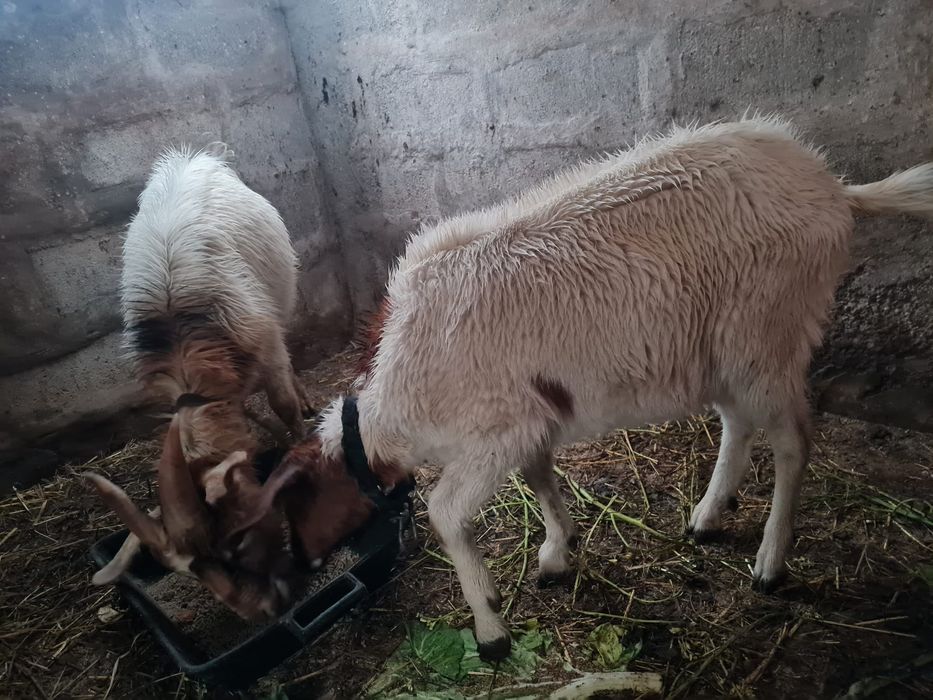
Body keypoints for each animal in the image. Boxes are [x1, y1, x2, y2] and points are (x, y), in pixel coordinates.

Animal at [203, 117, 933, 660]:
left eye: (277, 522)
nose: (281, 595)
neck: (396, 405)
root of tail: (836, 188)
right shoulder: (528, 418)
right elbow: (541, 478)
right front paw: (556, 552)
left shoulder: (490, 432)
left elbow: (446, 514)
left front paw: (490, 629)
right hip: (716, 349)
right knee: (738, 424)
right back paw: (706, 517)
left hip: (767, 332)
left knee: (793, 442)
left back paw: (770, 563)